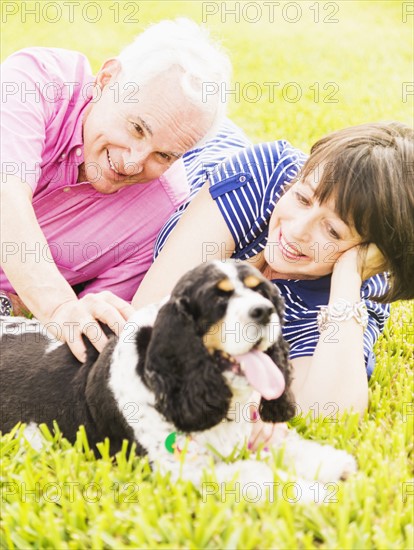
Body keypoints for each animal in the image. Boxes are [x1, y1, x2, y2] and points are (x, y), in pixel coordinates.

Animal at [0, 260, 356, 498]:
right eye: (218, 299)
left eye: (262, 291)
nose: (265, 311)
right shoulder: (177, 470)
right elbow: (258, 473)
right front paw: (314, 494)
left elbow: (285, 447)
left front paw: (331, 463)